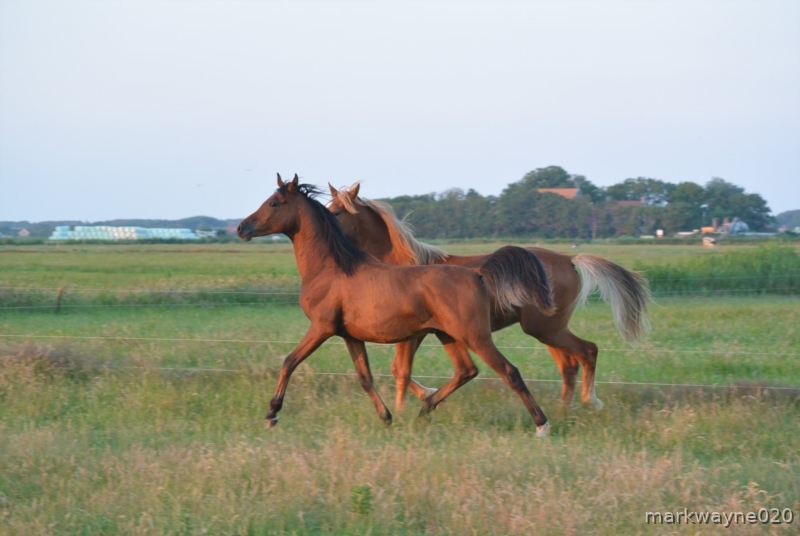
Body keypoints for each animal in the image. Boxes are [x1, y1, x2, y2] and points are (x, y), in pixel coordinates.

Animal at [237, 174, 556, 435]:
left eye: (274, 202)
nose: (241, 227)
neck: (332, 268)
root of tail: (478, 274)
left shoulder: (322, 328)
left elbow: (289, 362)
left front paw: (272, 414)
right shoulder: (350, 336)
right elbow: (365, 377)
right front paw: (386, 417)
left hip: (474, 336)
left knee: (509, 372)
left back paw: (542, 425)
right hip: (448, 335)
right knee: (467, 371)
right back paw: (424, 410)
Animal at [327, 182, 652, 410]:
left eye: (336, 211)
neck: (403, 264)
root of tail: (570, 259)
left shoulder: (413, 333)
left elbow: (401, 371)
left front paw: (404, 409)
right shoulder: (421, 332)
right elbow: (398, 370)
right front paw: (425, 396)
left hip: (545, 328)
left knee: (587, 351)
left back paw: (588, 402)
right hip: (548, 329)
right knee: (569, 365)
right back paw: (562, 412)